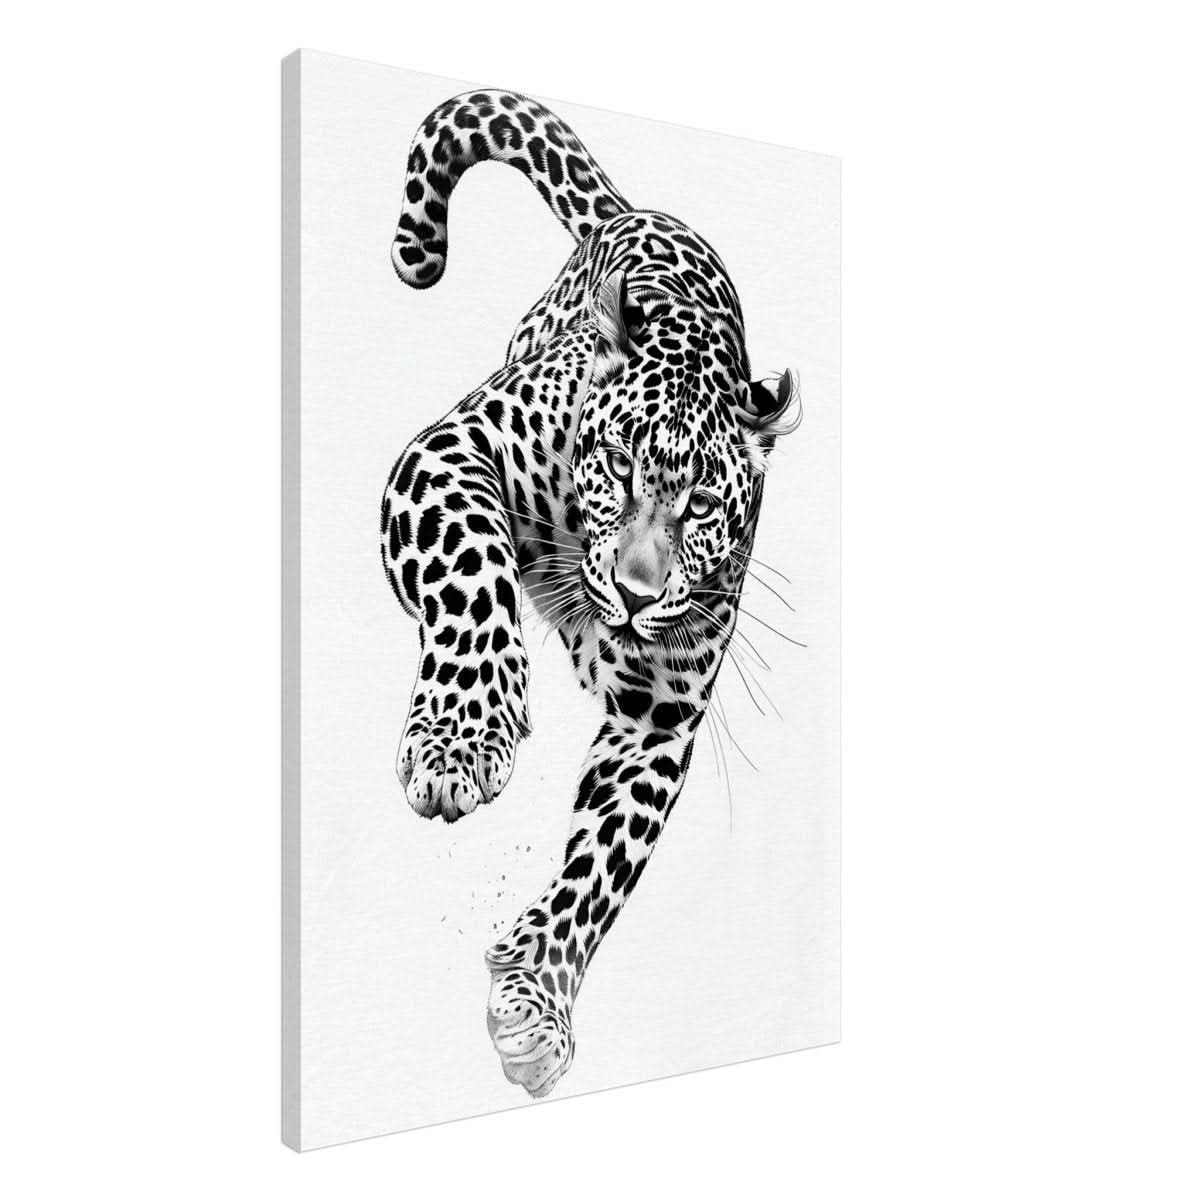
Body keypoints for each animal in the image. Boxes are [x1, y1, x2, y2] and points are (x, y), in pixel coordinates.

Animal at [381, 89, 802, 1098]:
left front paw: (535, 1002)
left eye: (702, 506)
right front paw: (461, 739)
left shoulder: (657, 718)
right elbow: (473, 575)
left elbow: (601, 870)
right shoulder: (449, 454)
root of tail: (640, 210)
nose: (637, 594)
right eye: (615, 463)